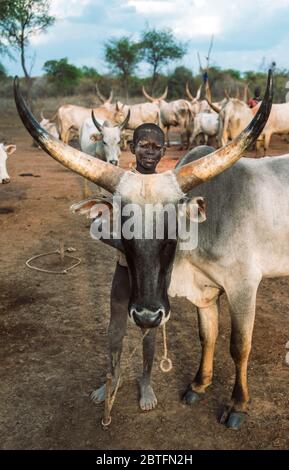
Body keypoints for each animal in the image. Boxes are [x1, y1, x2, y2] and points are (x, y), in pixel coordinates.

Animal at [15, 70, 276, 430]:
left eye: (172, 232)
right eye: (124, 233)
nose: (147, 316)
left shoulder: (244, 285)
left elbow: (239, 347)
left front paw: (237, 405)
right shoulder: (206, 289)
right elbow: (207, 335)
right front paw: (198, 385)